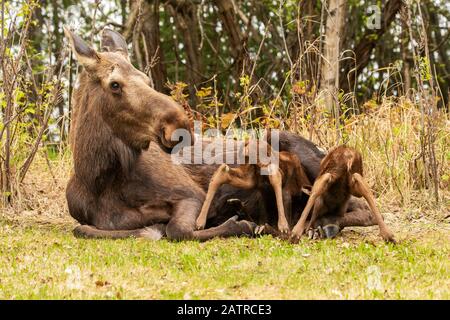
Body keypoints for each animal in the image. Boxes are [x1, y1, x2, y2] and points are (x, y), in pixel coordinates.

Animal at [66, 27, 380, 241]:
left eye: (145, 78)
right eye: (115, 84)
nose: (179, 125)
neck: (99, 180)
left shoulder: (190, 194)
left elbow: (179, 229)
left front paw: (240, 222)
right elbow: (84, 228)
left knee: (361, 206)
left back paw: (318, 225)